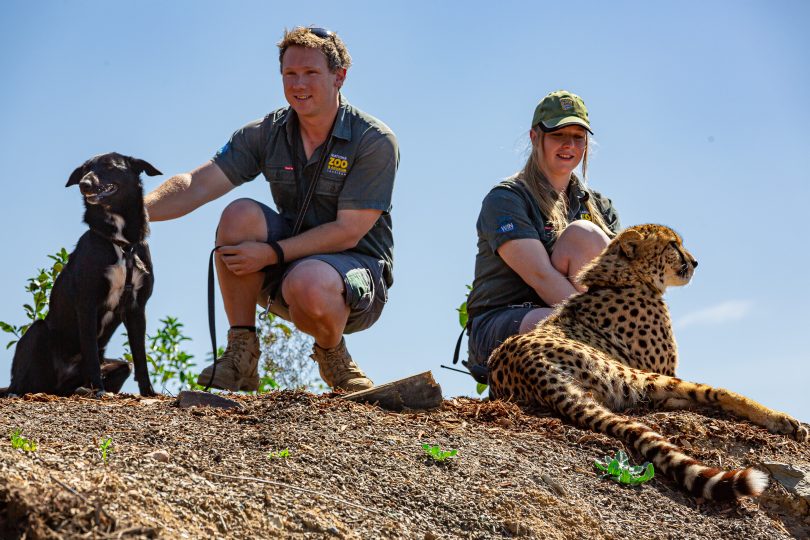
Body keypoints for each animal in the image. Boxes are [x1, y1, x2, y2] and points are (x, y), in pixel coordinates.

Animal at [6, 152, 161, 396]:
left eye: (109, 165)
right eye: (85, 169)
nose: (83, 184)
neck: (121, 243)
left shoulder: (137, 307)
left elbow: (140, 357)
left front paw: (148, 392)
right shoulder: (87, 304)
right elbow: (90, 354)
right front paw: (99, 390)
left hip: (117, 367)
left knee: (124, 366)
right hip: (38, 331)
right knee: (18, 381)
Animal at [482, 224, 804, 502]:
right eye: (673, 244)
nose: (695, 261)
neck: (623, 277)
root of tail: (530, 365)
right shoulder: (661, 369)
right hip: (639, 376)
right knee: (713, 393)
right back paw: (782, 419)